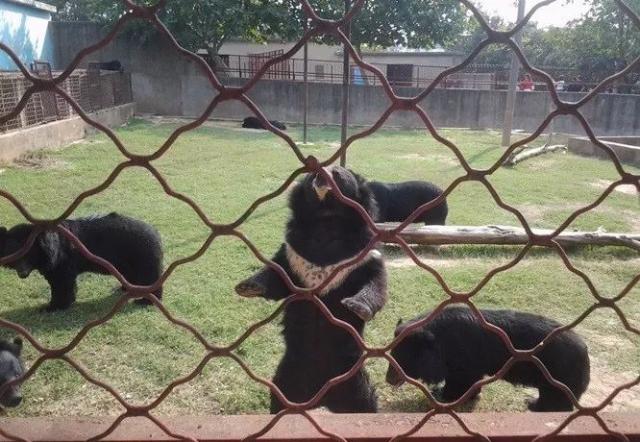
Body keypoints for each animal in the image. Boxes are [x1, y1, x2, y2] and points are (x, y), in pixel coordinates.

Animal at [0, 213, 164, 310]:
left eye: (29, 254)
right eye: (13, 255)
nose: (22, 273)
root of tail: (156, 233)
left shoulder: (61, 260)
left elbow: (61, 282)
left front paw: (53, 307)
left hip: (143, 256)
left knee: (150, 277)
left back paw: (145, 300)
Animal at [234, 164, 384, 412]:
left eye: (338, 173)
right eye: (313, 174)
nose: (321, 173)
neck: (327, 220)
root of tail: (321, 397)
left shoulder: (363, 256)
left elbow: (376, 283)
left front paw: (356, 306)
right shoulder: (293, 253)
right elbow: (277, 276)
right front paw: (247, 286)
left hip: (352, 379)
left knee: (366, 403)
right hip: (288, 376)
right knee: (279, 399)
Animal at [384, 306, 592, 412]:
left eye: (402, 358)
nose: (388, 379)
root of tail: (584, 351)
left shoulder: (464, 359)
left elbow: (462, 380)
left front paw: (445, 396)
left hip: (559, 376)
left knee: (556, 399)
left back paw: (535, 406)